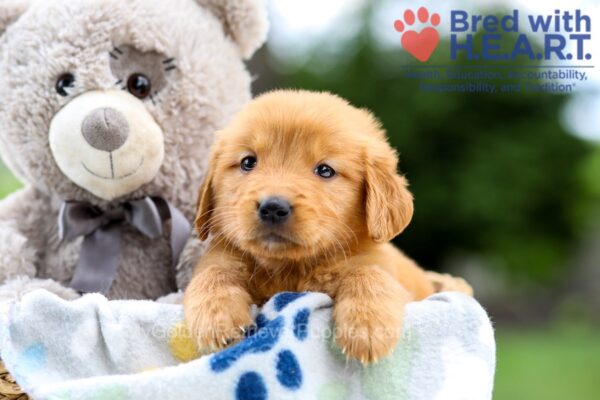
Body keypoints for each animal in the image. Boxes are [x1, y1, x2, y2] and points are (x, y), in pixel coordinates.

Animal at [183, 90, 474, 362]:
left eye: (325, 170)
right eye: (248, 162)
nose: (273, 207)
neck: (290, 269)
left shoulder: (375, 262)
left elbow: (370, 274)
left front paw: (368, 326)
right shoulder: (220, 256)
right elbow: (213, 273)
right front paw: (216, 318)